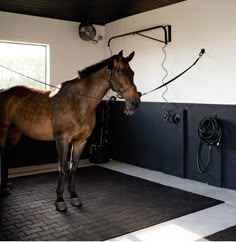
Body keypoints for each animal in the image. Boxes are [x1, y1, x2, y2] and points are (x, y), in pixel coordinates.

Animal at [0, 50, 140, 211]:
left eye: (132, 72)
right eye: (119, 72)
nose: (135, 102)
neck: (78, 102)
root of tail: (3, 91)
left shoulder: (80, 141)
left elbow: (74, 167)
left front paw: (74, 196)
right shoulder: (62, 140)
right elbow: (63, 168)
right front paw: (60, 200)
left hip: (15, 133)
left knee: (5, 155)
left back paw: (6, 185)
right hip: (3, 131)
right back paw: (3, 188)